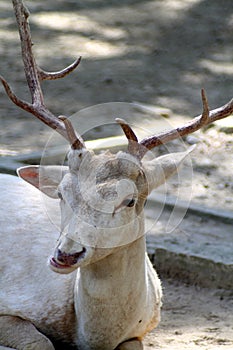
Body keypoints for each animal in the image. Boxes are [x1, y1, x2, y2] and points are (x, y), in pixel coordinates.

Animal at [0, 0, 233, 350]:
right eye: (61, 193)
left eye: (129, 200)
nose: (66, 255)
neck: (91, 335)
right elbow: (40, 342)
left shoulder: (141, 330)